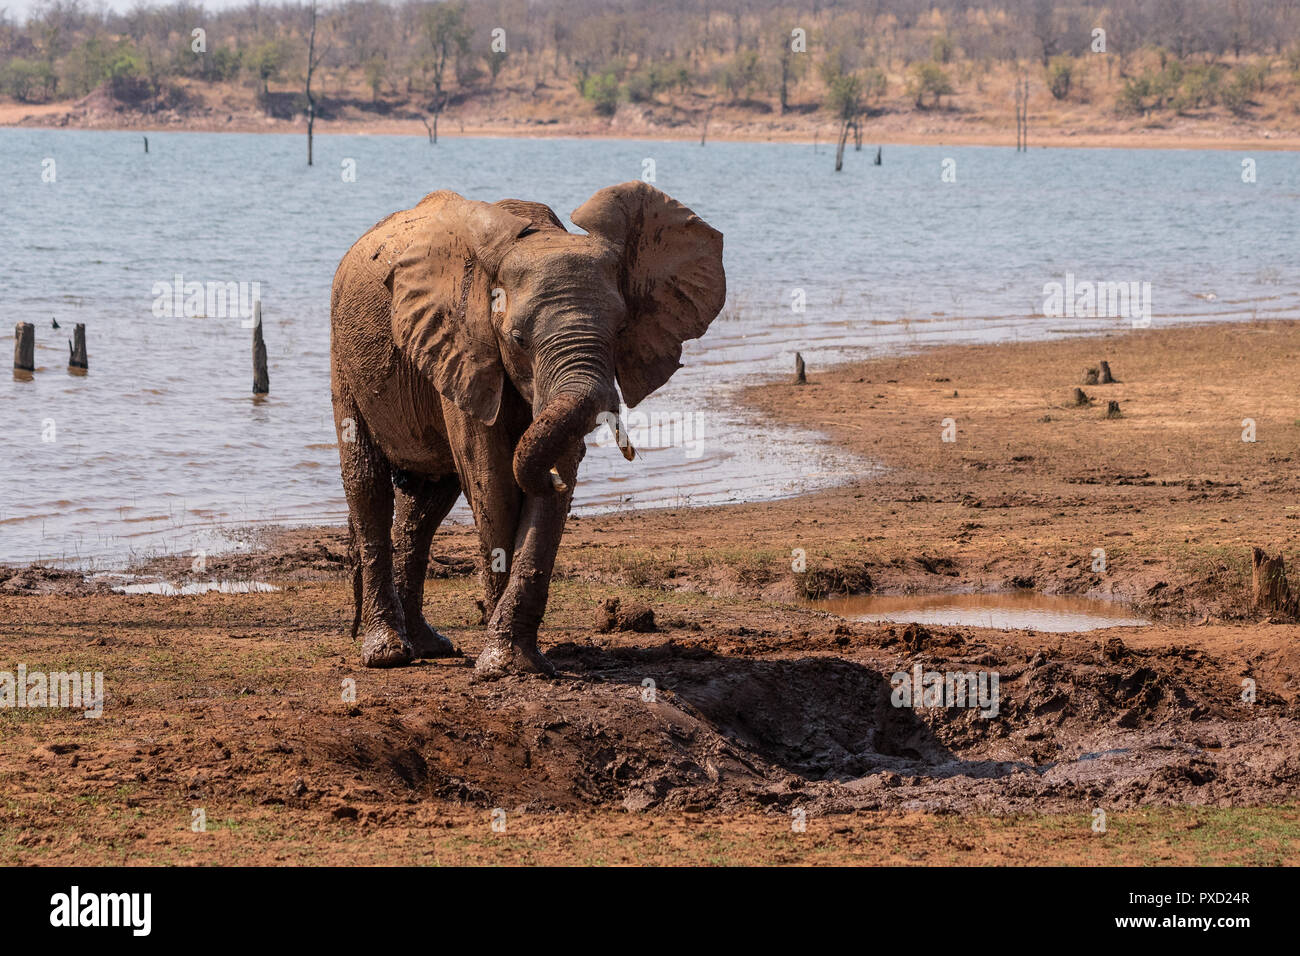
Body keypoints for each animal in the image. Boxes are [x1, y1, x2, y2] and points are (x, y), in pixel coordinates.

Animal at [330, 183, 728, 676]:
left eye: (621, 329)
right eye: (517, 339)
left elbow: (545, 476)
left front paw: (516, 662)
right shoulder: (464, 345)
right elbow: (491, 478)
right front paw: (502, 665)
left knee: (428, 501)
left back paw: (429, 646)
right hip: (343, 354)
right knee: (367, 485)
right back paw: (387, 654)